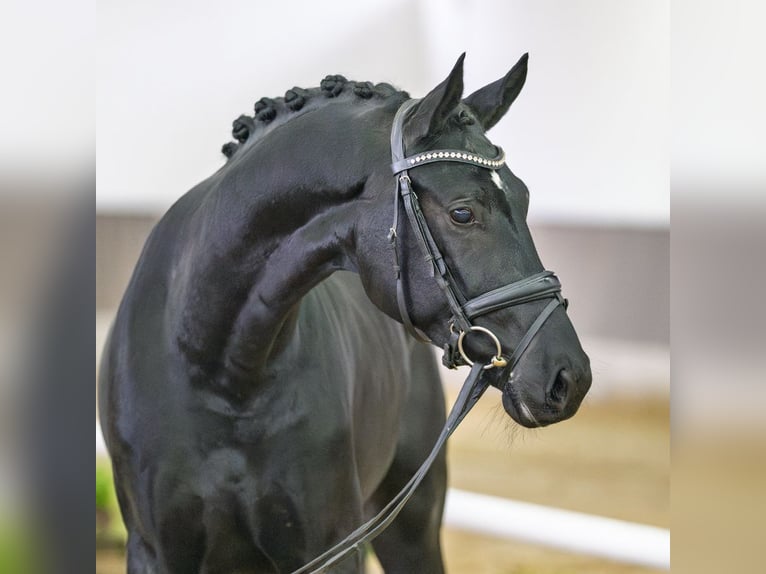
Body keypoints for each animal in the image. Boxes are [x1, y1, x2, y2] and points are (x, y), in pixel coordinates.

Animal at [98, 53, 592, 573]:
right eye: (462, 213)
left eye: (524, 197)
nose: (569, 377)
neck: (218, 372)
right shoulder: (155, 552)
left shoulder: (332, 543)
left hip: (413, 526)